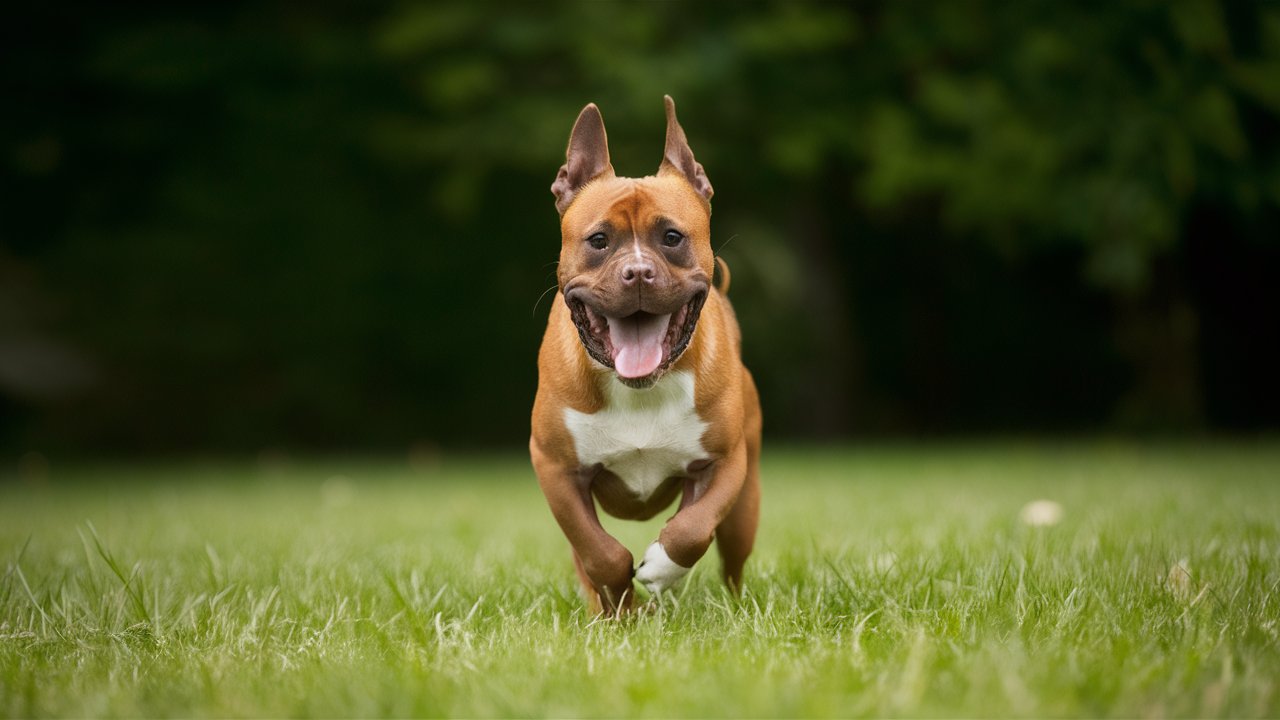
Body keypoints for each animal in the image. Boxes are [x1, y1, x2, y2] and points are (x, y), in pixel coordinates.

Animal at [529, 94, 757, 609]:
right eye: (599, 241)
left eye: (671, 237)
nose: (636, 272)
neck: (638, 388)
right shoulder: (556, 469)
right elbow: (599, 552)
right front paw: (621, 607)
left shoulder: (725, 462)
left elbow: (692, 529)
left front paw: (660, 569)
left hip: (745, 508)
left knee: (731, 558)